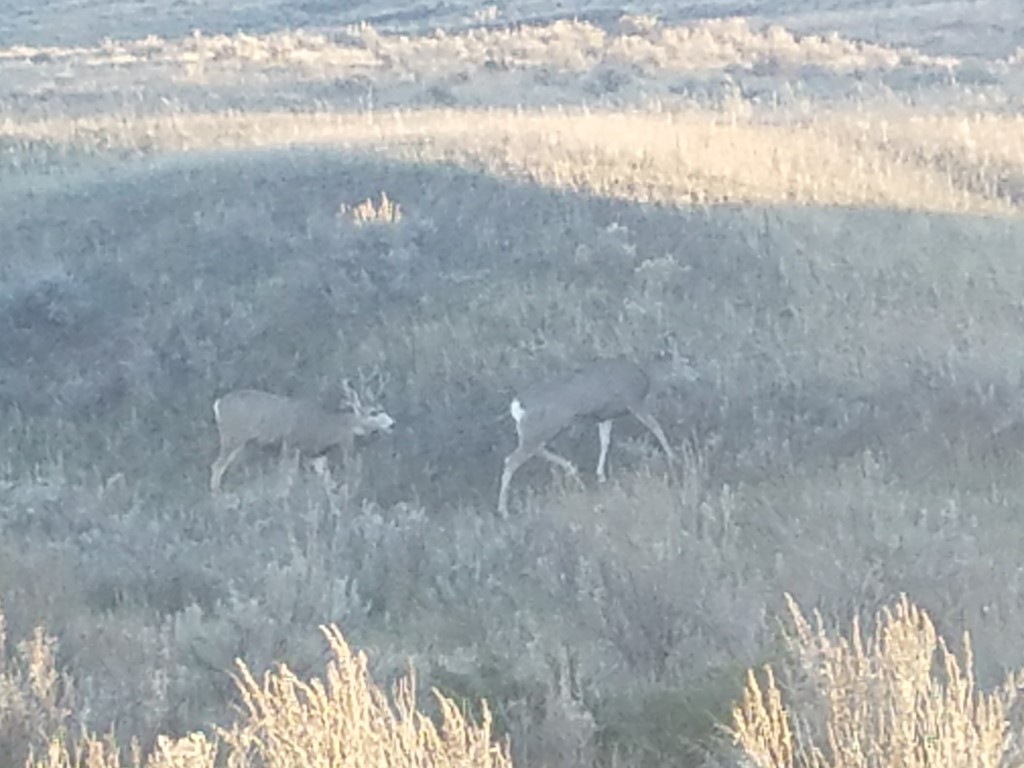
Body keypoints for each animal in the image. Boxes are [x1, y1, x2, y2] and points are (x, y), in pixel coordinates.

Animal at [209, 378, 393, 493]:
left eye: (382, 408)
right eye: (373, 412)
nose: (392, 423)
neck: (326, 425)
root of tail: (218, 404)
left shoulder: (313, 454)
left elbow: (326, 479)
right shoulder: (291, 444)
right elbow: (287, 477)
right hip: (233, 436)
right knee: (217, 465)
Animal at [497, 356, 679, 518]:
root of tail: (517, 405)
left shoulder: (605, 417)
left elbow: (605, 441)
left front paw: (600, 475)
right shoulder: (633, 401)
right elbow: (656, 427)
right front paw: (672, 457)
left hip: (537, 430)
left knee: (534, 451)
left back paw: (571, 468)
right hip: (541, 428)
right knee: (512, 460)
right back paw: (503, 511)